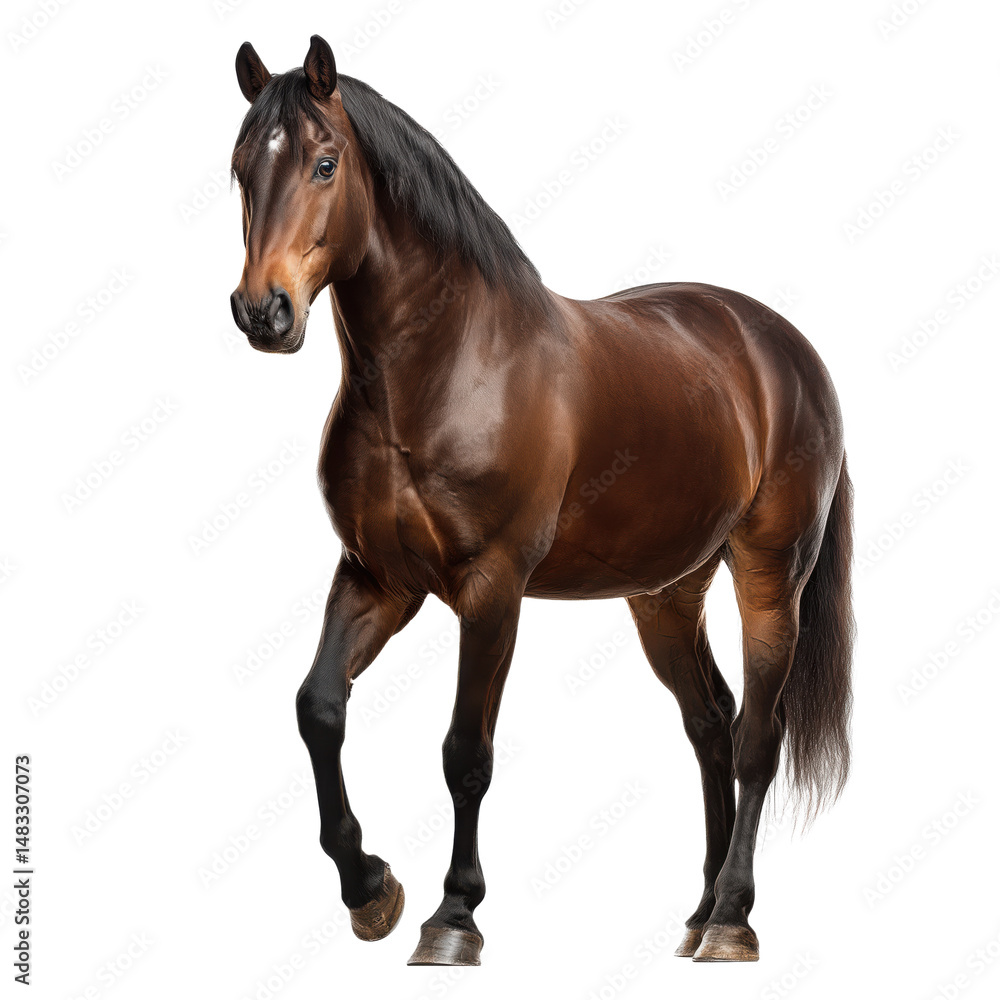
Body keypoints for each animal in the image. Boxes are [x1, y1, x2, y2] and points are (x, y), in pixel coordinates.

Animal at [228, 35, 854, 966]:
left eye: (324, 163)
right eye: (239, 169)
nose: (262, 312)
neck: (448, 368)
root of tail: (784, 348)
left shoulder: (492, 591)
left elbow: (465, 752)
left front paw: (454, 914)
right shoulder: (377, 580)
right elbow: (318, 709)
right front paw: (370, 890)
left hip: (770, 576)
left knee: (756, 740)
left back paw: (733, 919)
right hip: (666, 594)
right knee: (711, 721)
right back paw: (700, 908)